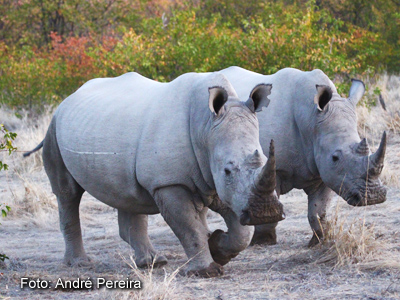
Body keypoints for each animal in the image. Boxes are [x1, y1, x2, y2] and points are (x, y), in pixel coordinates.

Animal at [24, 71, 284, 278]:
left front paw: (217, 247)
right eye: (228, 170)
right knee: (67, 193)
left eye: (263, 162)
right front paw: (207, 271)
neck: (206, 127)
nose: (266, 213)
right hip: (54, 128)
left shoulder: (213, 179)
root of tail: (68, 99)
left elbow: (241, 230)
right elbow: (189, 227)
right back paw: (80, 264)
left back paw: (152, 263)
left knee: (127, 195)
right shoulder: (169, 183)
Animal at [219, 67, 388, 247]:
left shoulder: (323, 168)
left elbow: (319, 210)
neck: (310, 118)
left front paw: (318, 240)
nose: (373, 197)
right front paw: (263, 241)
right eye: (335, 157)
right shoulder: (272, 168)